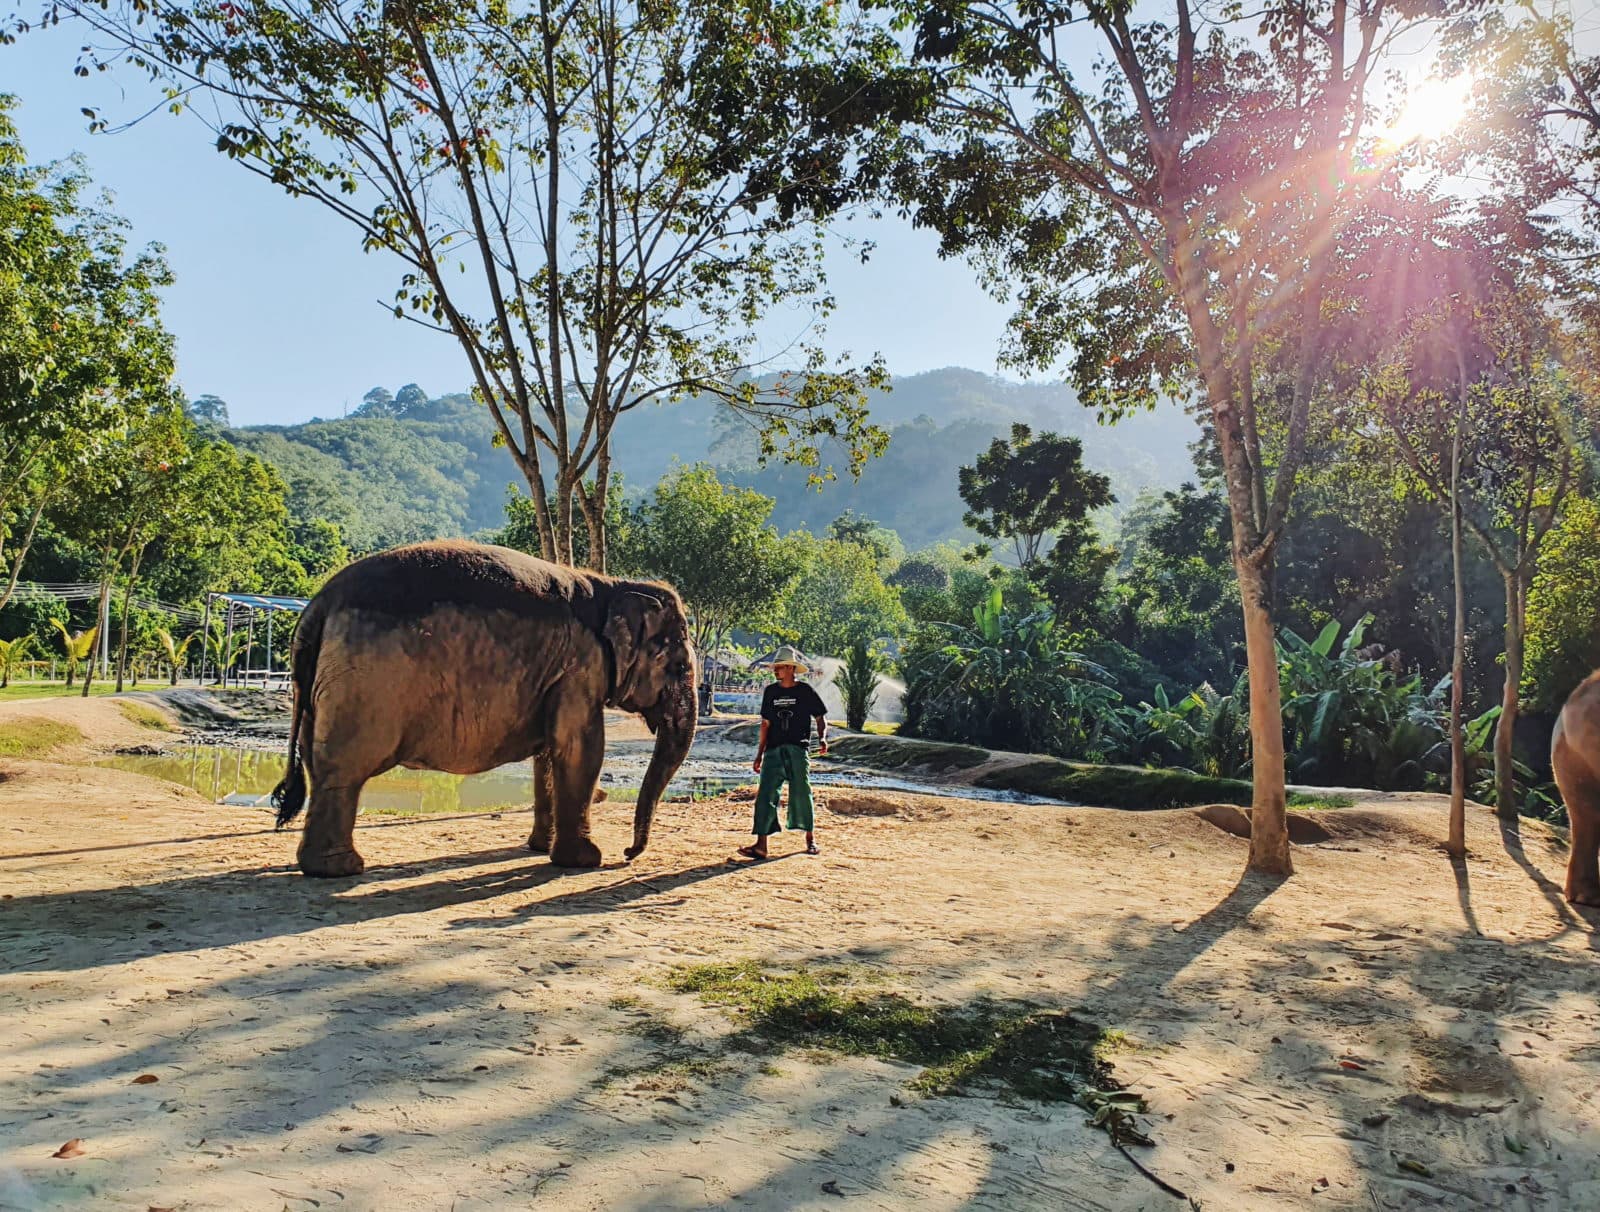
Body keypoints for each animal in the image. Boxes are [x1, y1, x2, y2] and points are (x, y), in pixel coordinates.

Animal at [270, 540, 697, 876]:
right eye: (678, 667)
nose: (628, 853)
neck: (612, 586)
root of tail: (318, 605)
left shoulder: (556, 675)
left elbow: (549, 754)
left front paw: (539, 850)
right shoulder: (582, 667)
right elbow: (579, 749)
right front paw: (585, 861)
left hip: (321, 687)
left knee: (316, 762)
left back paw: (322, 866)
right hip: (363, 685)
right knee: (343, 769)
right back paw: (340, 869)